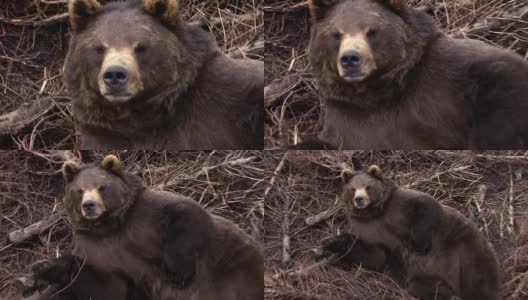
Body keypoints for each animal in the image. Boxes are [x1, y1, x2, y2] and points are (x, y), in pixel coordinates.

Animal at [35, 156, 262, 300]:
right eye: (80, 190)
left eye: (102, 187)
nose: (89, 205)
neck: (109, 226)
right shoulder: (99, 249)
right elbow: (105, 287)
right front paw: (45, 266)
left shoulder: (145, 217)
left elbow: (185, 213)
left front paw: (178, 273)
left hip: (230, 268)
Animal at [292, 0, 528, 149]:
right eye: (336, 34)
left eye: (372, 31)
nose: (350, 58)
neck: (377, 94)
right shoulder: (348, 120)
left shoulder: (445, 81)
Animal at [318, 165, 500, 298]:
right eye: (353, 188)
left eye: (368, 187)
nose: (359, 199)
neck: (375, 213)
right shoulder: (367, 228)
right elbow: (375, 255)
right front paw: (330, 242)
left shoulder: (398, 206)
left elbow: (425, 205)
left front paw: (419, 245)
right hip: (426, 276)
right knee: (420, 287)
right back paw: (449, 294)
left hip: (464, 247)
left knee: (478, 277)